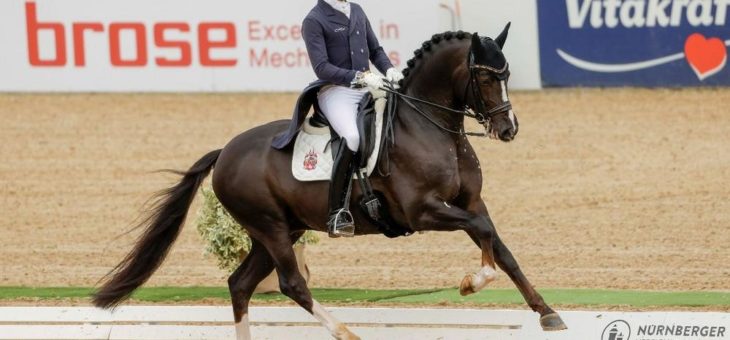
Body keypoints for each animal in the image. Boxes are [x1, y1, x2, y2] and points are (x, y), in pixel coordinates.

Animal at [92, 25, 568, 340]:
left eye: (506, 75)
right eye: (485, 76)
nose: (508, 130)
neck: (431, 127)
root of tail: (224, 152)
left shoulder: (471, 202)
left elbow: (501, 247)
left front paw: (546, 313)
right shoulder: (424, 211)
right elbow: (485, 235)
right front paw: (472, 281)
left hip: (277, 231)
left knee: (240, 284)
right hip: (271, 228)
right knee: (291, 284)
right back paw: (345, 331)